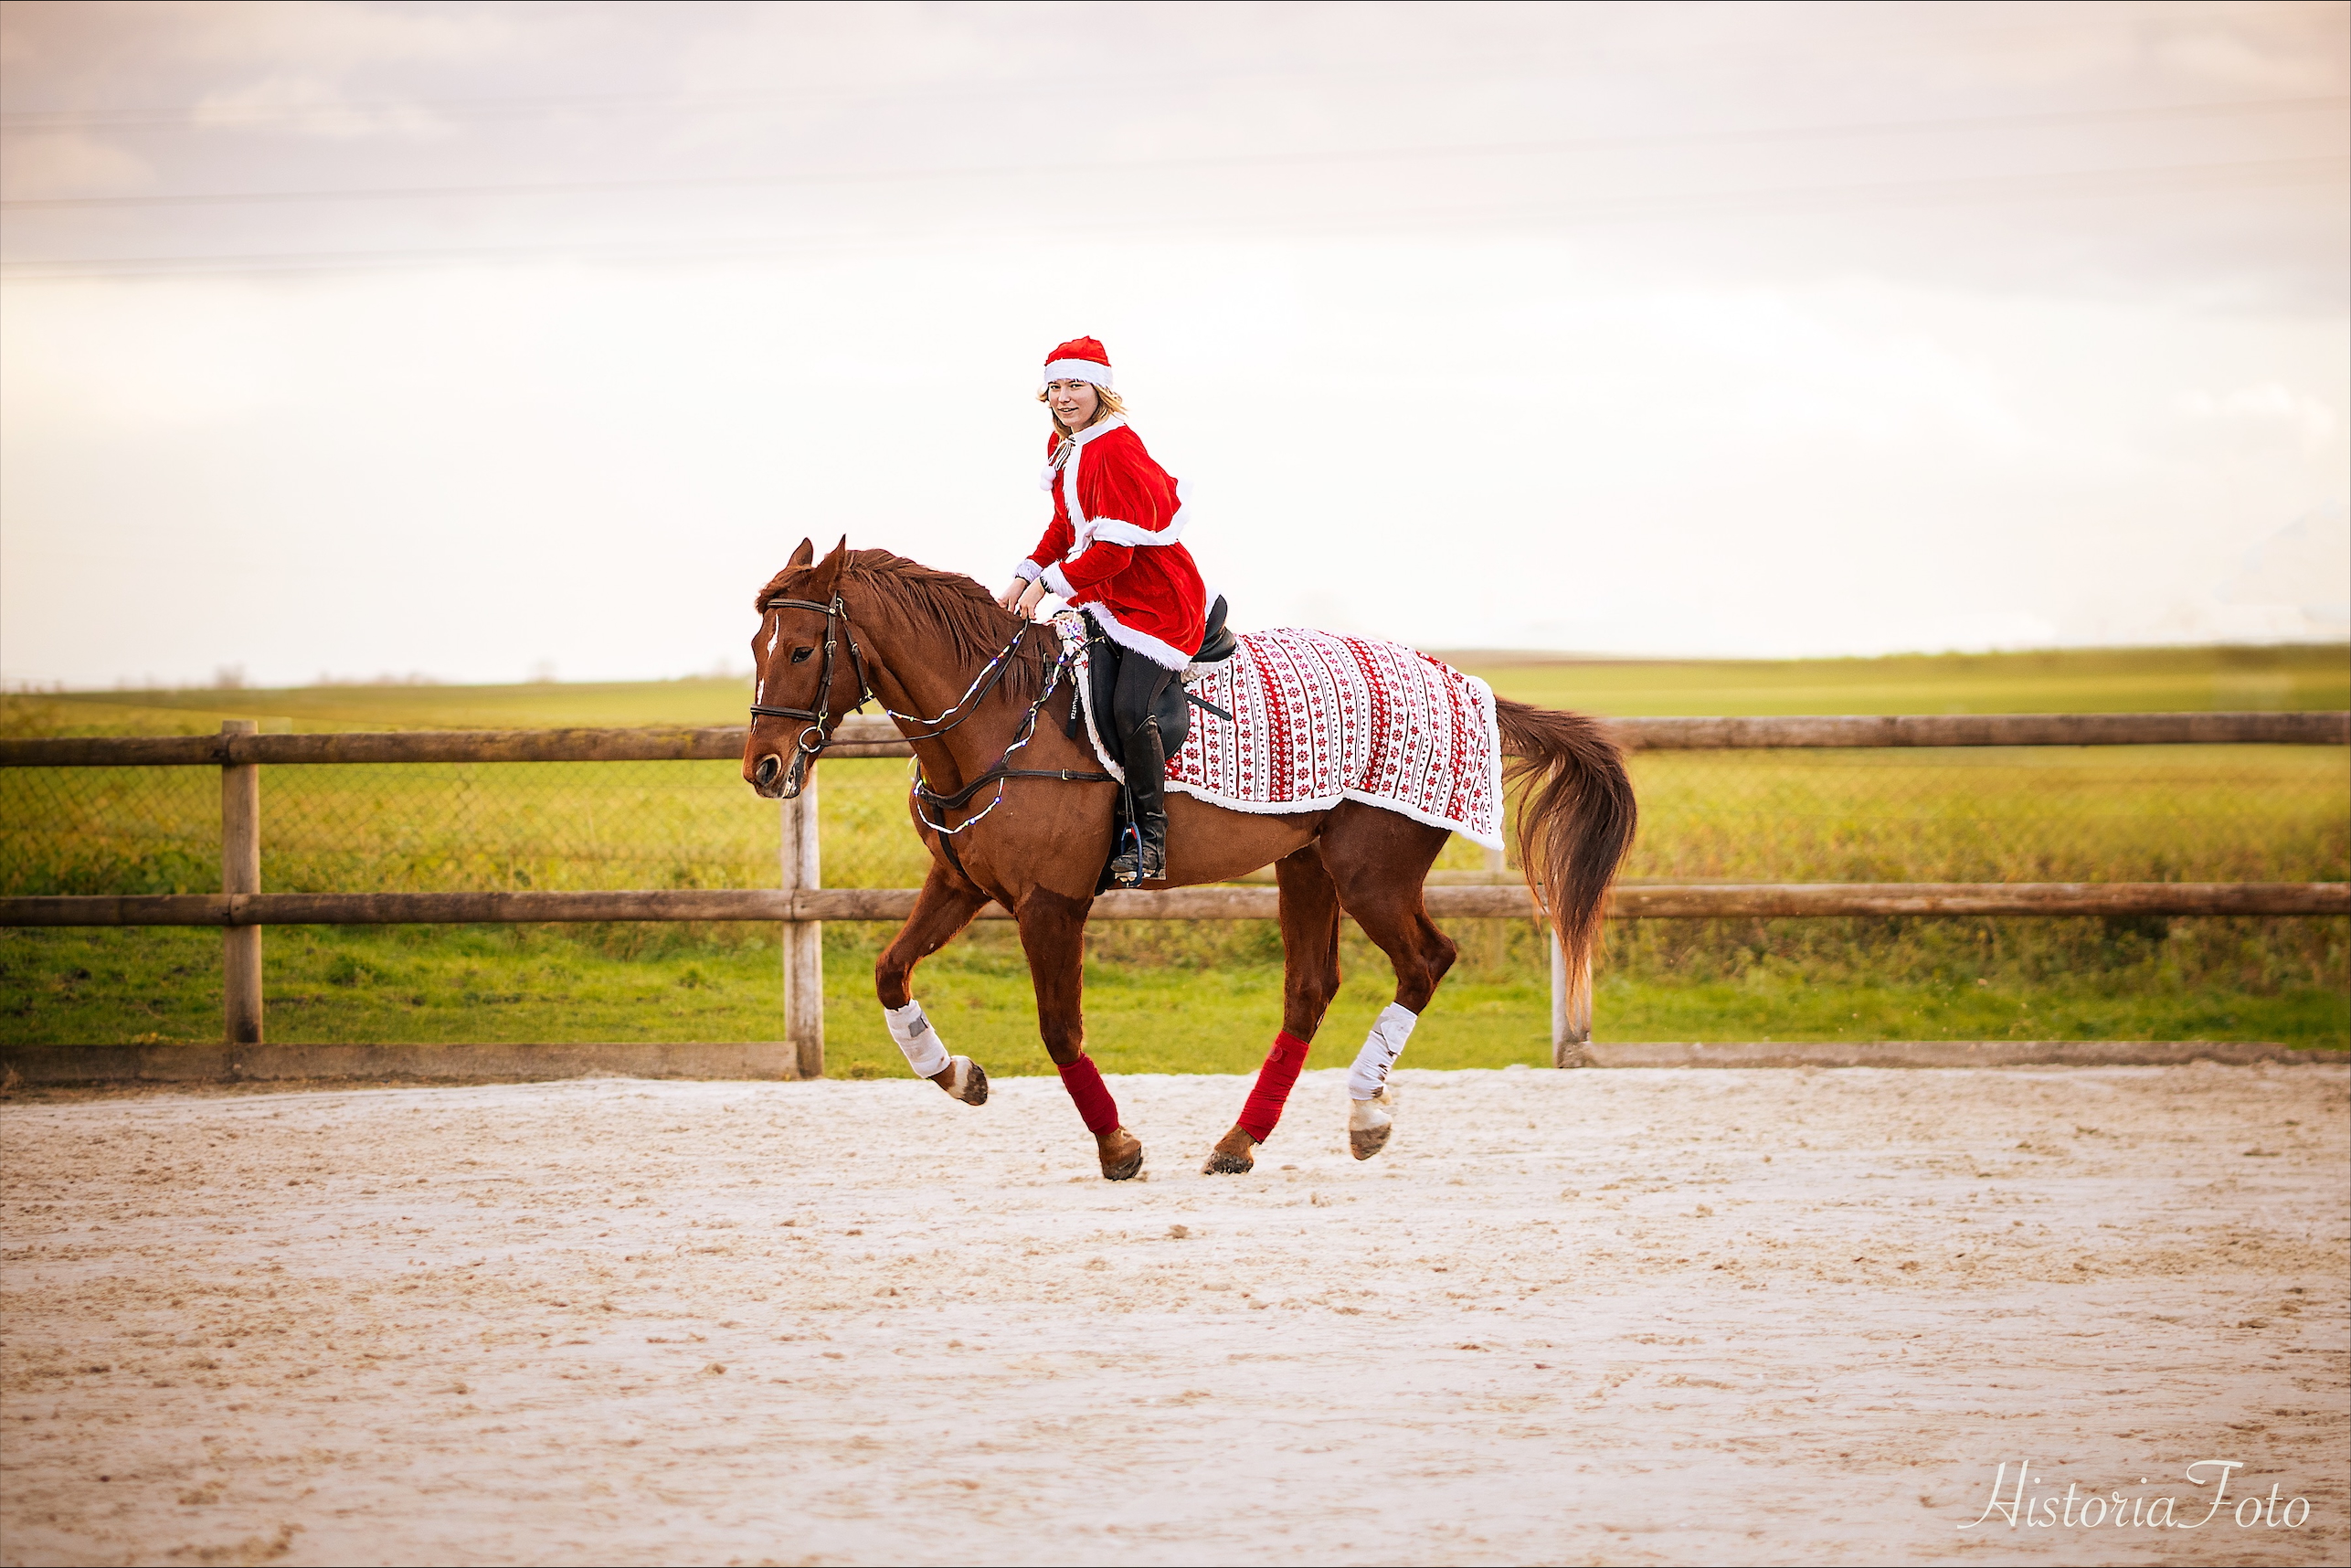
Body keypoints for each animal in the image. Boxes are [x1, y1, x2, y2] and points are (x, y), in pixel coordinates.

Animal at [741, 538, 1636, 1180]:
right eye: (756, 643)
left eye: (801, 650)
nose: (763, 767)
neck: (998, 717)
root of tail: (1465, 686)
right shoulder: (960, 884)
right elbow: (890, 973)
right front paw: (957, 1074)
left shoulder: (1050, 903)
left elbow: (1059, 1029)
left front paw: (1118, 1149)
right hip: (1305, 866)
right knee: (1309, 991)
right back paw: (1241, 1140)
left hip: (1370, 873)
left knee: (1425, 961)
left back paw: (1364, 1114)